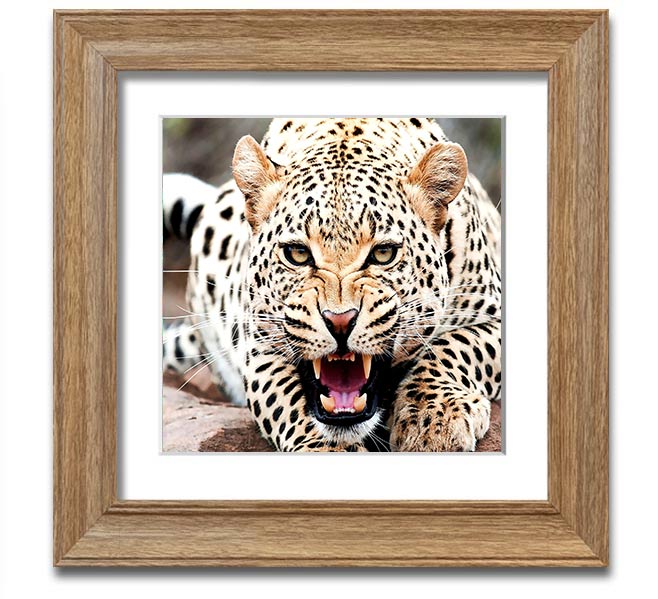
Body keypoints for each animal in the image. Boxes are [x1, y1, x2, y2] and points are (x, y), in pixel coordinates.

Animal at [163, 117, 502, 452]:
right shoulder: (259, 346)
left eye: (384, 253)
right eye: (297, 253)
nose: (340, 322)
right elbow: (289, 402)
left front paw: (433, 419)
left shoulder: (493, 316)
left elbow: (455, 347)